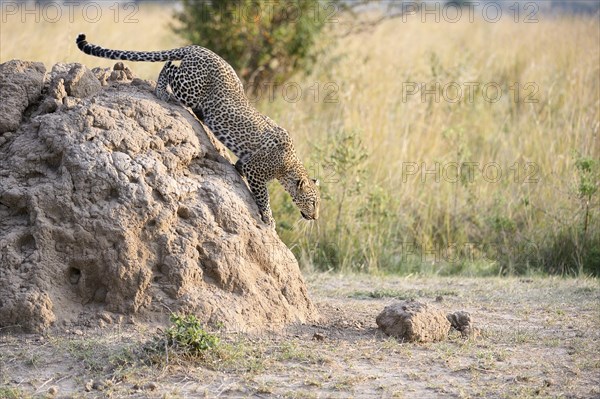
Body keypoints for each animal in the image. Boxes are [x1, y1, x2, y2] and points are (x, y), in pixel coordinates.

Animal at [76, 33, 318, 228]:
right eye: (313, 202)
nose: (315, 217)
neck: (289, 166)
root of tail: (198, 48)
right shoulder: (256, 171)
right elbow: (264, 197)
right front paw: (268, 219)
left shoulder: (248, 161)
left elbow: (240, 165)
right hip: (190, 88)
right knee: (169, 67)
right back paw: (162, 93)